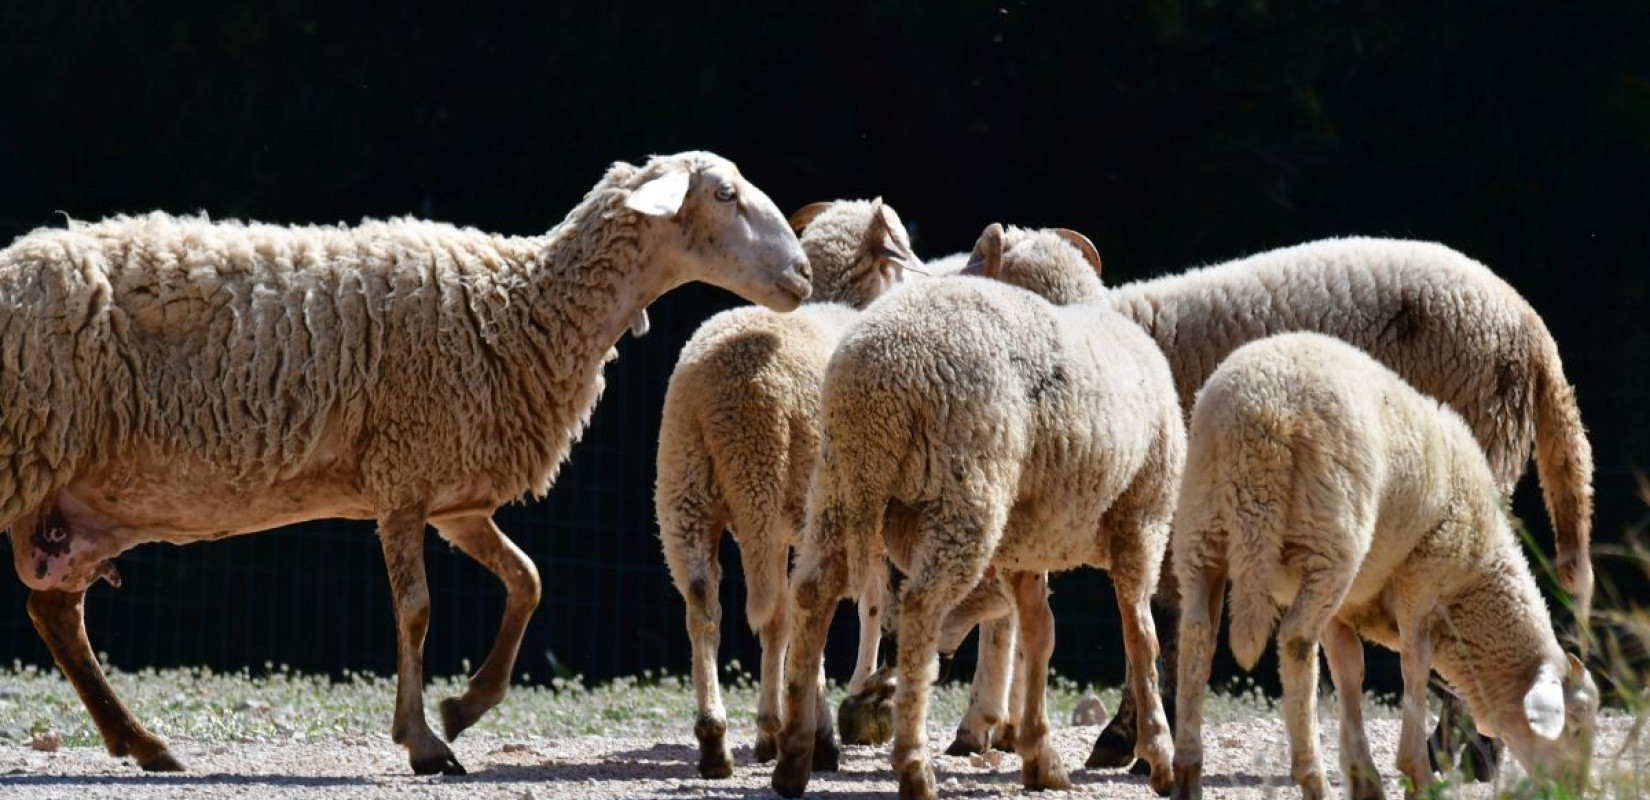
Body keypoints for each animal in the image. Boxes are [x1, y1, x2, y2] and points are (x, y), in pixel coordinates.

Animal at [0, 150, 811, 771]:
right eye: (725, 194)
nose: (802, 275)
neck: (517, 306)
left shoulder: (456, 499)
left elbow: (529, 581)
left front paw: (464, 707)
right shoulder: (404, 475)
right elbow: (417, 610)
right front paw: (423, 741)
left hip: (72, 509)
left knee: (55, 612)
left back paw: (143, 744)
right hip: (24, 454)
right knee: (53, 612)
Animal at [650, 196, 924, 775]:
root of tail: (735, 393)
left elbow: (774, 625)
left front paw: (768, 728)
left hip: (687, 490)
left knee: (705, 603)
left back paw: (715, 739)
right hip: (788, 491)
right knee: (798, 603)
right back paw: (814, 737)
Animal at [765, 222, 1181, 798]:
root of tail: (876, 375)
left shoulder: (1027, 546)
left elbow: (1040, 634)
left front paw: (1040, 758)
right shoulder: (1143, 518)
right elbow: (1141, 636)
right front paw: (1158, 752)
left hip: (838, 481)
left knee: (814, 591)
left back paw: (795, 757)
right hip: (964, 495)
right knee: (919, 607)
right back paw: (913, 765)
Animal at [1174, 329, 1597, 798]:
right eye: (1576, 727)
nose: (1575, 788)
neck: (1474, 583)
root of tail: (1256, 422)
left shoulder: (1346, 609)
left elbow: (1350, 675)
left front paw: (1364, 777)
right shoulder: (1423, 583)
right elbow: (1414, 667)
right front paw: (1415, 772)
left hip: (1202, 526)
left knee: (1198, 633)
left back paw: (1187, 770)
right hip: (1327, 541)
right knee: (1296, 640)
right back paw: (1311, 775)